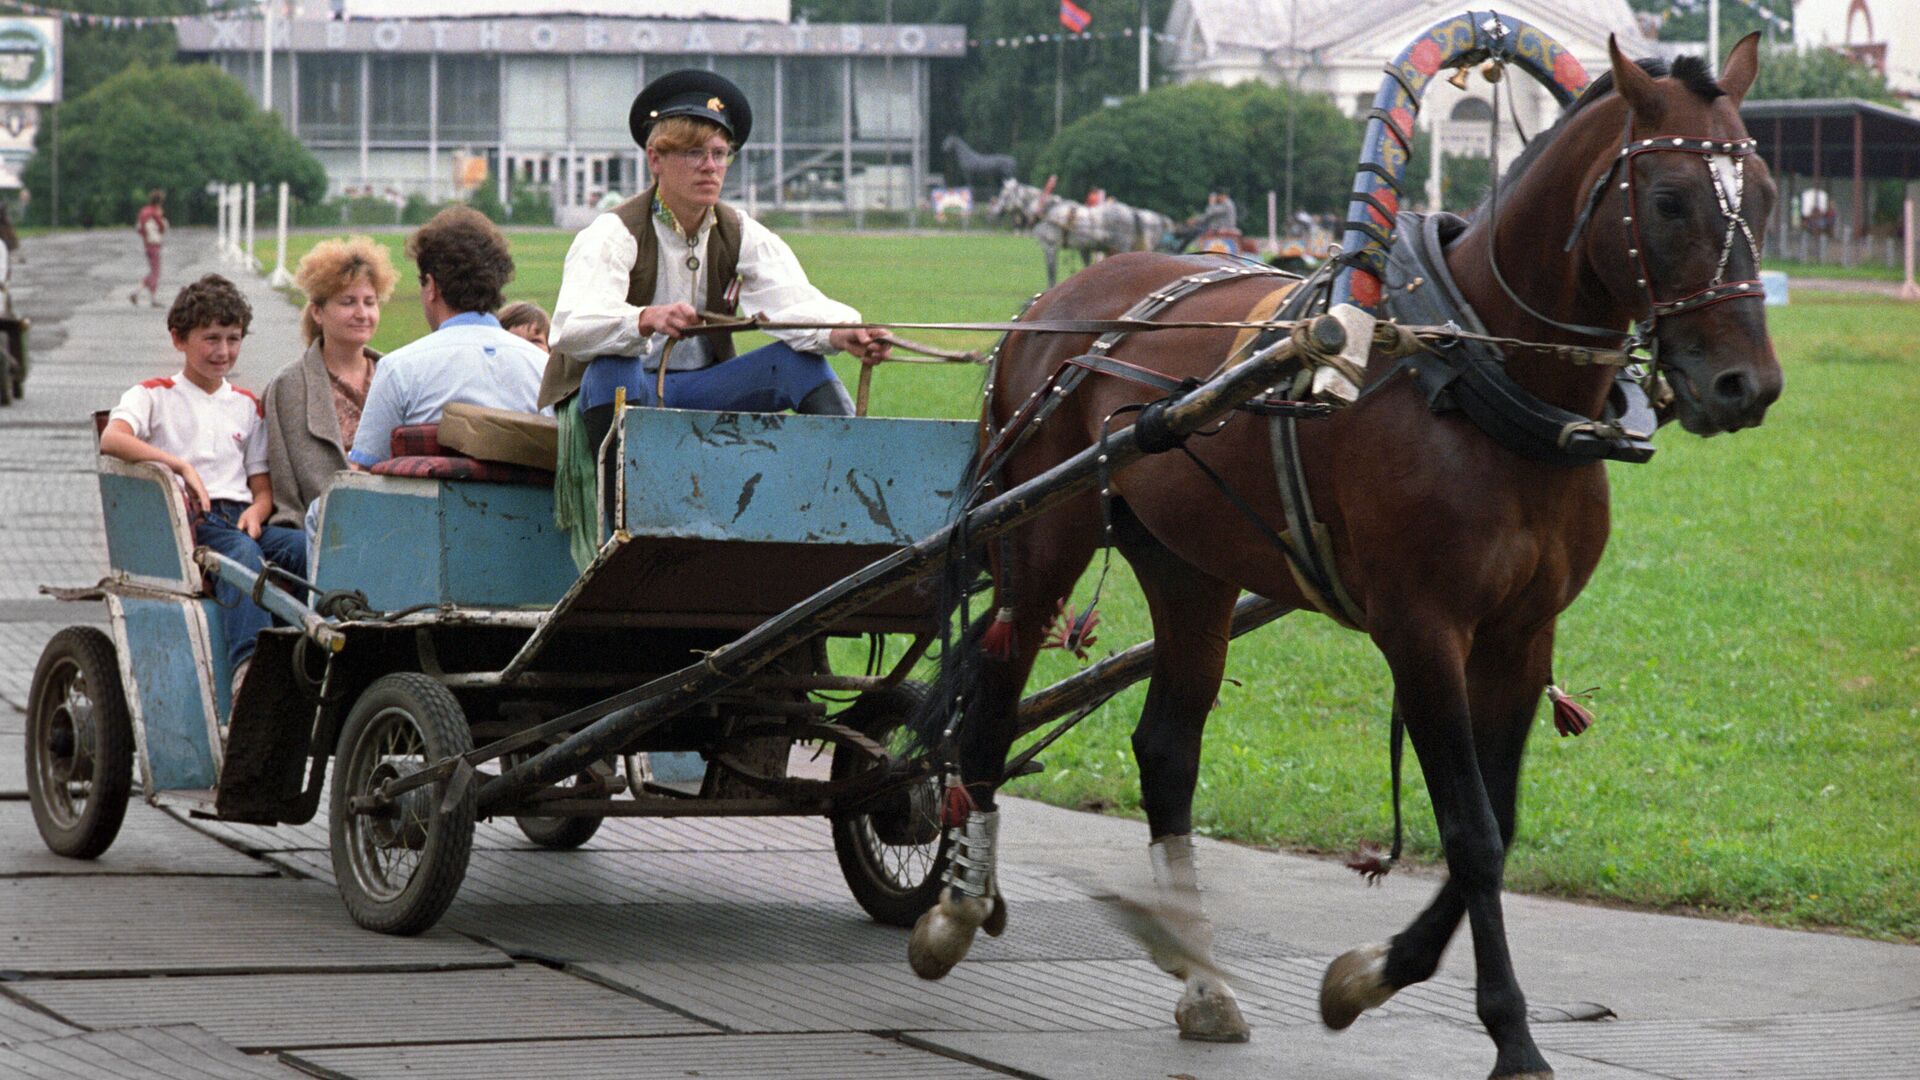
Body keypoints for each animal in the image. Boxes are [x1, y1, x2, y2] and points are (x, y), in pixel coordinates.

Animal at [990, 178, 1182, 286]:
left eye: (1005, 194)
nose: (995, 212)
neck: (1048, 210)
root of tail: (1131, 212)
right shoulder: (1084, 249)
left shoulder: (1050, 246)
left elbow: (1051, 273)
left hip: (1121, 247)